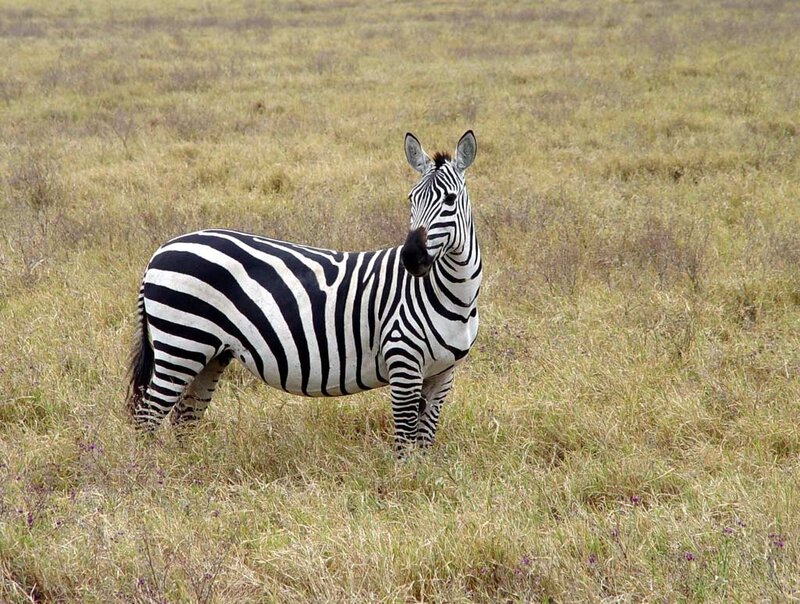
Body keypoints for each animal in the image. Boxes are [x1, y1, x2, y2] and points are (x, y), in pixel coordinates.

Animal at [127, 130, 481, 451]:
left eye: (450, 200)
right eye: (411, 199)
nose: (411, 257)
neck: (454, 295)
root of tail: (161, 249)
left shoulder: (443, 373)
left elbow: (424, 439)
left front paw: (422, 474)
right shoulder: (402, 360)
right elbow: (405, 439)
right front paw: (402, 478)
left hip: (210, 353)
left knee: (184, 418)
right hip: (181, 343)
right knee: (148, 417)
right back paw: (151, 473)